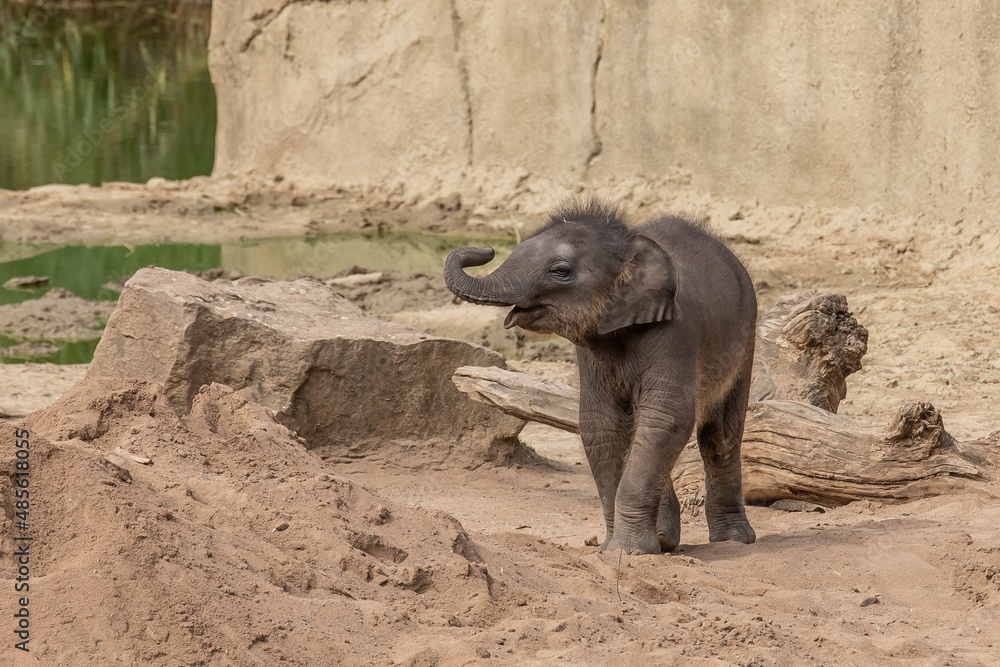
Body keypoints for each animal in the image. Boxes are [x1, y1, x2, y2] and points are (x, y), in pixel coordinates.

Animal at [444, 199, 757, 554]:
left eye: (560, 270)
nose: (486, 249)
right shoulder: (591, 355)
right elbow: (600, 423)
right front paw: (612, 548)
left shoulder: (677, 333)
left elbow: (667, 417)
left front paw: (627, 551)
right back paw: (665, 539)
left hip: (747, 336)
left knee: (720, 436)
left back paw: (734, 540)